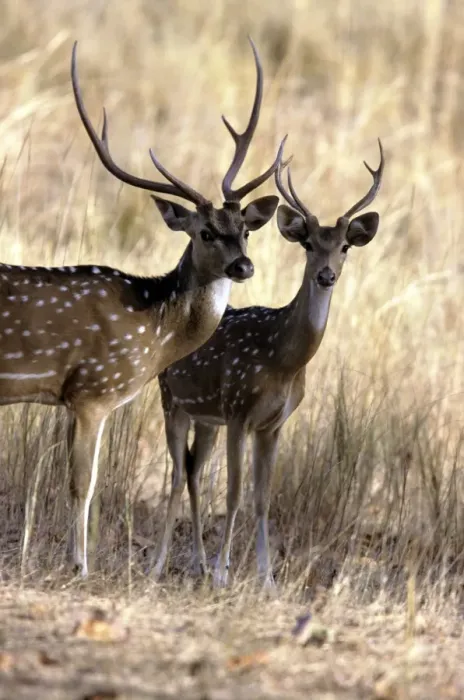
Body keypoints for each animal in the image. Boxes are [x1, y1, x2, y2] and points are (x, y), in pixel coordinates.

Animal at [0, 38, 284, 577]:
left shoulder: (72, 398)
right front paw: (81, 566)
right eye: (205, 232)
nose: (244, 266)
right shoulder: (93, 390)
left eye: (246, 229)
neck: (153, 330)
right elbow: (83, 484)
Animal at [154, 140, 385, 589]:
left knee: (191, 471)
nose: (326, 275)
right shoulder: (239, 410)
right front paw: (224, 575)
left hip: (207, 416)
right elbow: (233, 494)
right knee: (176, 474)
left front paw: (266, 578)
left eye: (345, 246)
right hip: (172, 399)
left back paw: (197, 563)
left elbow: (262, 498)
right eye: (308, 244)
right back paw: (161, 565)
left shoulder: (273, 423)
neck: (283, 361)